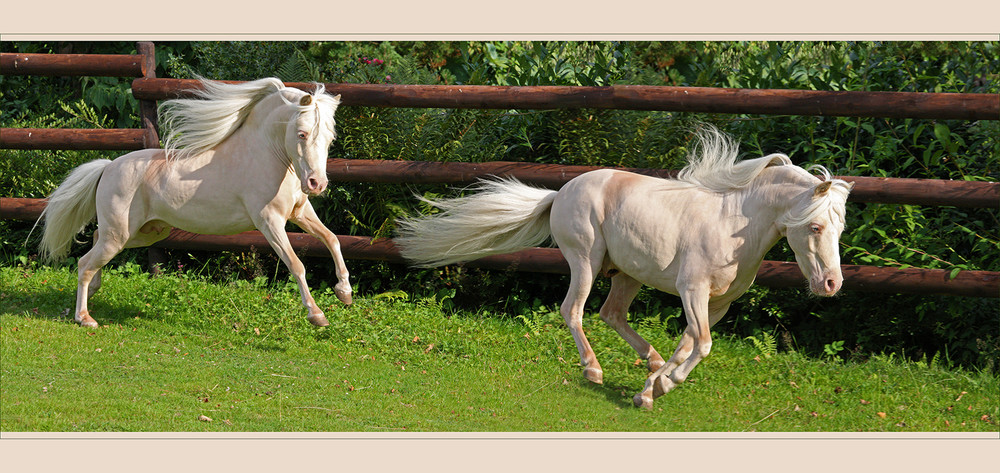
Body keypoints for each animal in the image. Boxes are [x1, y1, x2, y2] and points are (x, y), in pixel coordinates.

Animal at [35, 77, 354, 328]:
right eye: (302, 133)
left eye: (330, 138)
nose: (316, 184)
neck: (266, 156)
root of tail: (107, 167)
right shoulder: (269, 221)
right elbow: (297, 264)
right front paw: (317, 315)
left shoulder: (300, 213)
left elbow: (332, 239)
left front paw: (345, 292)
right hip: (120, 235)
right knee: (84, 263)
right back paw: (85, 318)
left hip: (144, 233)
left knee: (95, 244)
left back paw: (95, 292)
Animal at [394, 125, 856, 406]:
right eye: (815, 226)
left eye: (840, 227)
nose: (832, 284)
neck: (734, 224)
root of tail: (560, 192)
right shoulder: (692, 291)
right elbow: (702, 344)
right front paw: (660, 387)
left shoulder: (717, 304)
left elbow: (690, 343)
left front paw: (652, 388)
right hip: (585, 261)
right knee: (574, 310)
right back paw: (594, 370)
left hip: (629, 275)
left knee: (611, 313)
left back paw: (649, 361)